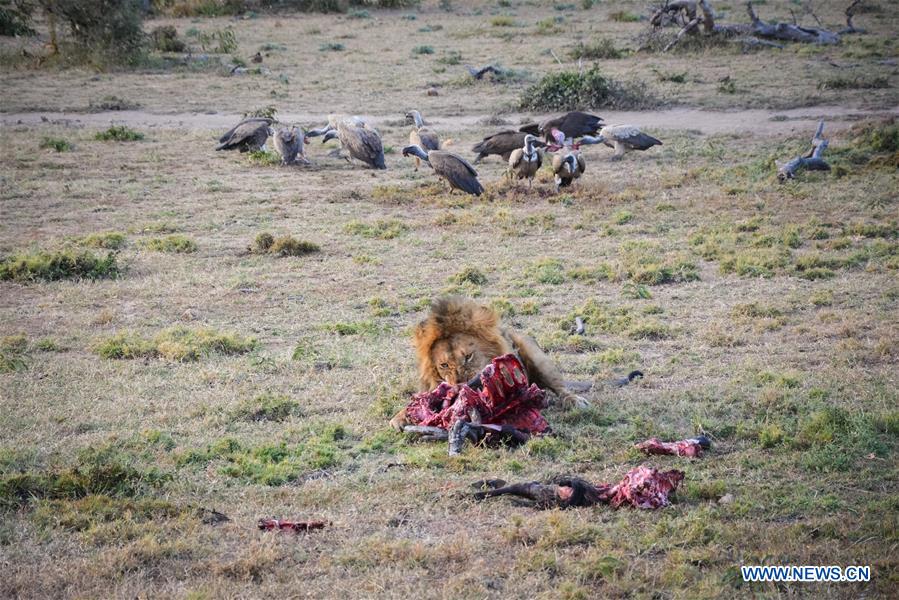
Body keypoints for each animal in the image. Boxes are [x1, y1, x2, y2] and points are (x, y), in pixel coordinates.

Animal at [388, 296, 592, 432]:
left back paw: (574, 401)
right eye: (444, 365)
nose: (460, 386)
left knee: (559, 387)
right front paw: (401, 417)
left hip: (537, 357)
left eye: (468, 356)